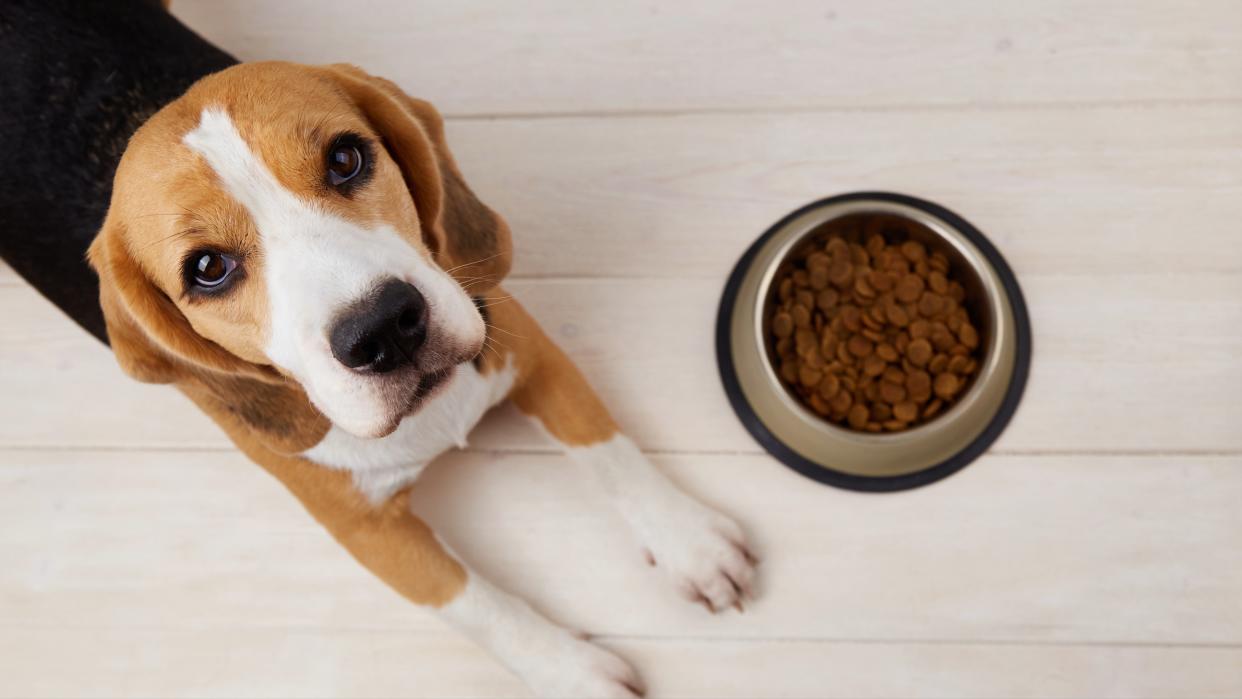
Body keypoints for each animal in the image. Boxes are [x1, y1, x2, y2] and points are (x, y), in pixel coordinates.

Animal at [85, 58, 755, 695]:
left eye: (345, 158)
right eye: (207, 269)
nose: (382, 328)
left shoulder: (528, 348)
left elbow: (608, 449)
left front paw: (688, 542)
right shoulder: (366, 530)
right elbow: (474, 603)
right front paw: (571, 671)